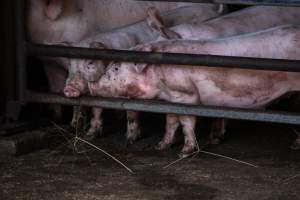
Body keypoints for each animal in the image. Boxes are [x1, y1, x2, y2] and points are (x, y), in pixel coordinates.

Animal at [61, 4, 225, 141]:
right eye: (70, 64)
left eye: (90, 62)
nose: (68, 88)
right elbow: (94, 108)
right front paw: (87, 133)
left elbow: (131, 111)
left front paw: (131, 138)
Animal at [85, 24, 300, 156]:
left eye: (116, 68)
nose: (92, 84)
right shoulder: (171, 99)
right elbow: (170, 122)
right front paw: (160, 146)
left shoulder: (186, 96)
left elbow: (186, 122)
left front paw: (184, 152)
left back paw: (294, 146)